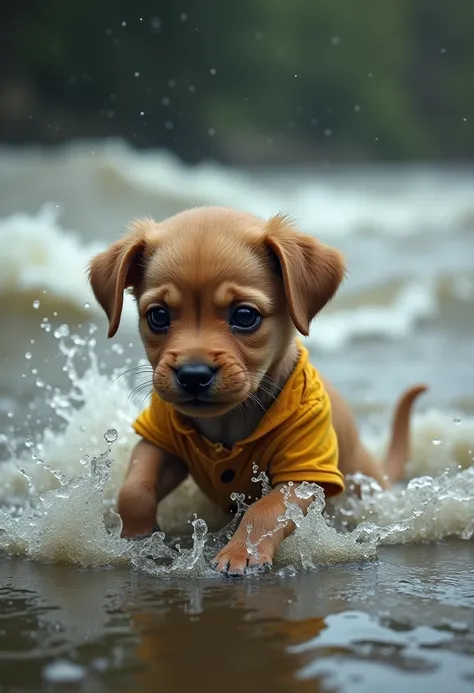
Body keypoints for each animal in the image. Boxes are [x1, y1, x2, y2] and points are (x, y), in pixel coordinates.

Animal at [89, 205, 426, 572]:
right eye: (158, 316)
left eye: (245, 316)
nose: (193, 375)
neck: (227, 422)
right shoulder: (160, 441)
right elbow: (134, 490)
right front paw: (137, 538)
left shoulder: (303, 477)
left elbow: (262, 510)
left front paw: (241, 552)